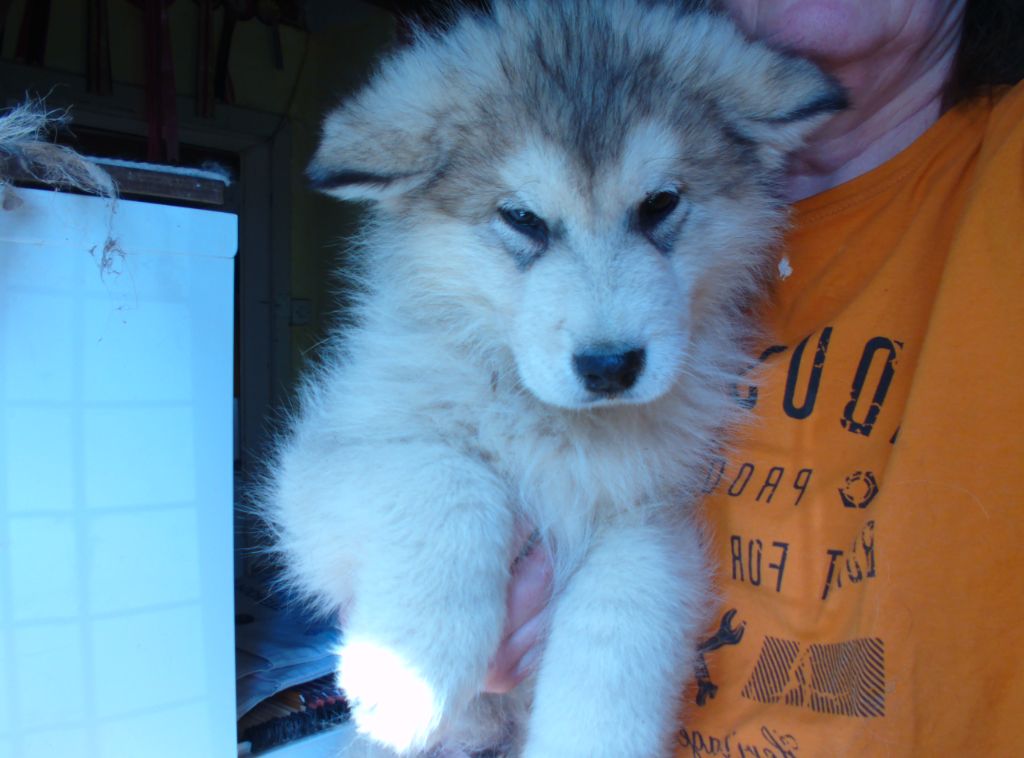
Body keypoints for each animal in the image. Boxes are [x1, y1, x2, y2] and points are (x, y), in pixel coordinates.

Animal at [268, 2, 843, 753]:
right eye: (522, 218)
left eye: (660, 204)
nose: (610, 367)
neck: (558, 429)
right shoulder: (319, 472)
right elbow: (448, 479)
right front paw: (408, 669)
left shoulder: (651, 515)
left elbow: (625, 607)